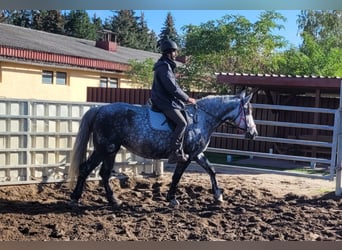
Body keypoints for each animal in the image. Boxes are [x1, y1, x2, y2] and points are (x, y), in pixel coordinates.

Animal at [68, 90, 258, 207]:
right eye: (248, 110)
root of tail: (99, 109)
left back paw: (114, 200)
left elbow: (211, 170)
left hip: (111, 151)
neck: (201, 119)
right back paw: (75, 199)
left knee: (104, 174)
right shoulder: (187, 156)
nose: (254, 133)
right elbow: (176, 177)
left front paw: (218, 195)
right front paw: (172, 199)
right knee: (85, 169)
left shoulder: (197, 154)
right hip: (104, 149)